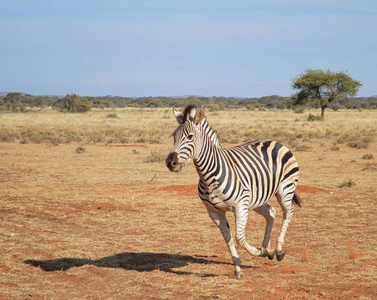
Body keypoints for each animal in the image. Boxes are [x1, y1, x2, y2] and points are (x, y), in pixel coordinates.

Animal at [164, 104, 300, 278]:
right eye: (174, 136)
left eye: (190, 137)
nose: (171, 162)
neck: (208, 176)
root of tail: (275, 142)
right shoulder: (214, 212)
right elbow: (227, 238)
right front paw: (238, 267)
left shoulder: (240, 206)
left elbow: (239, 238)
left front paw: (258, 251)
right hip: (257, 198)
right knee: (271, 212)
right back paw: (269, 249)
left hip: (285, 189)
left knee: (288, 213)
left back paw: (278, 250)